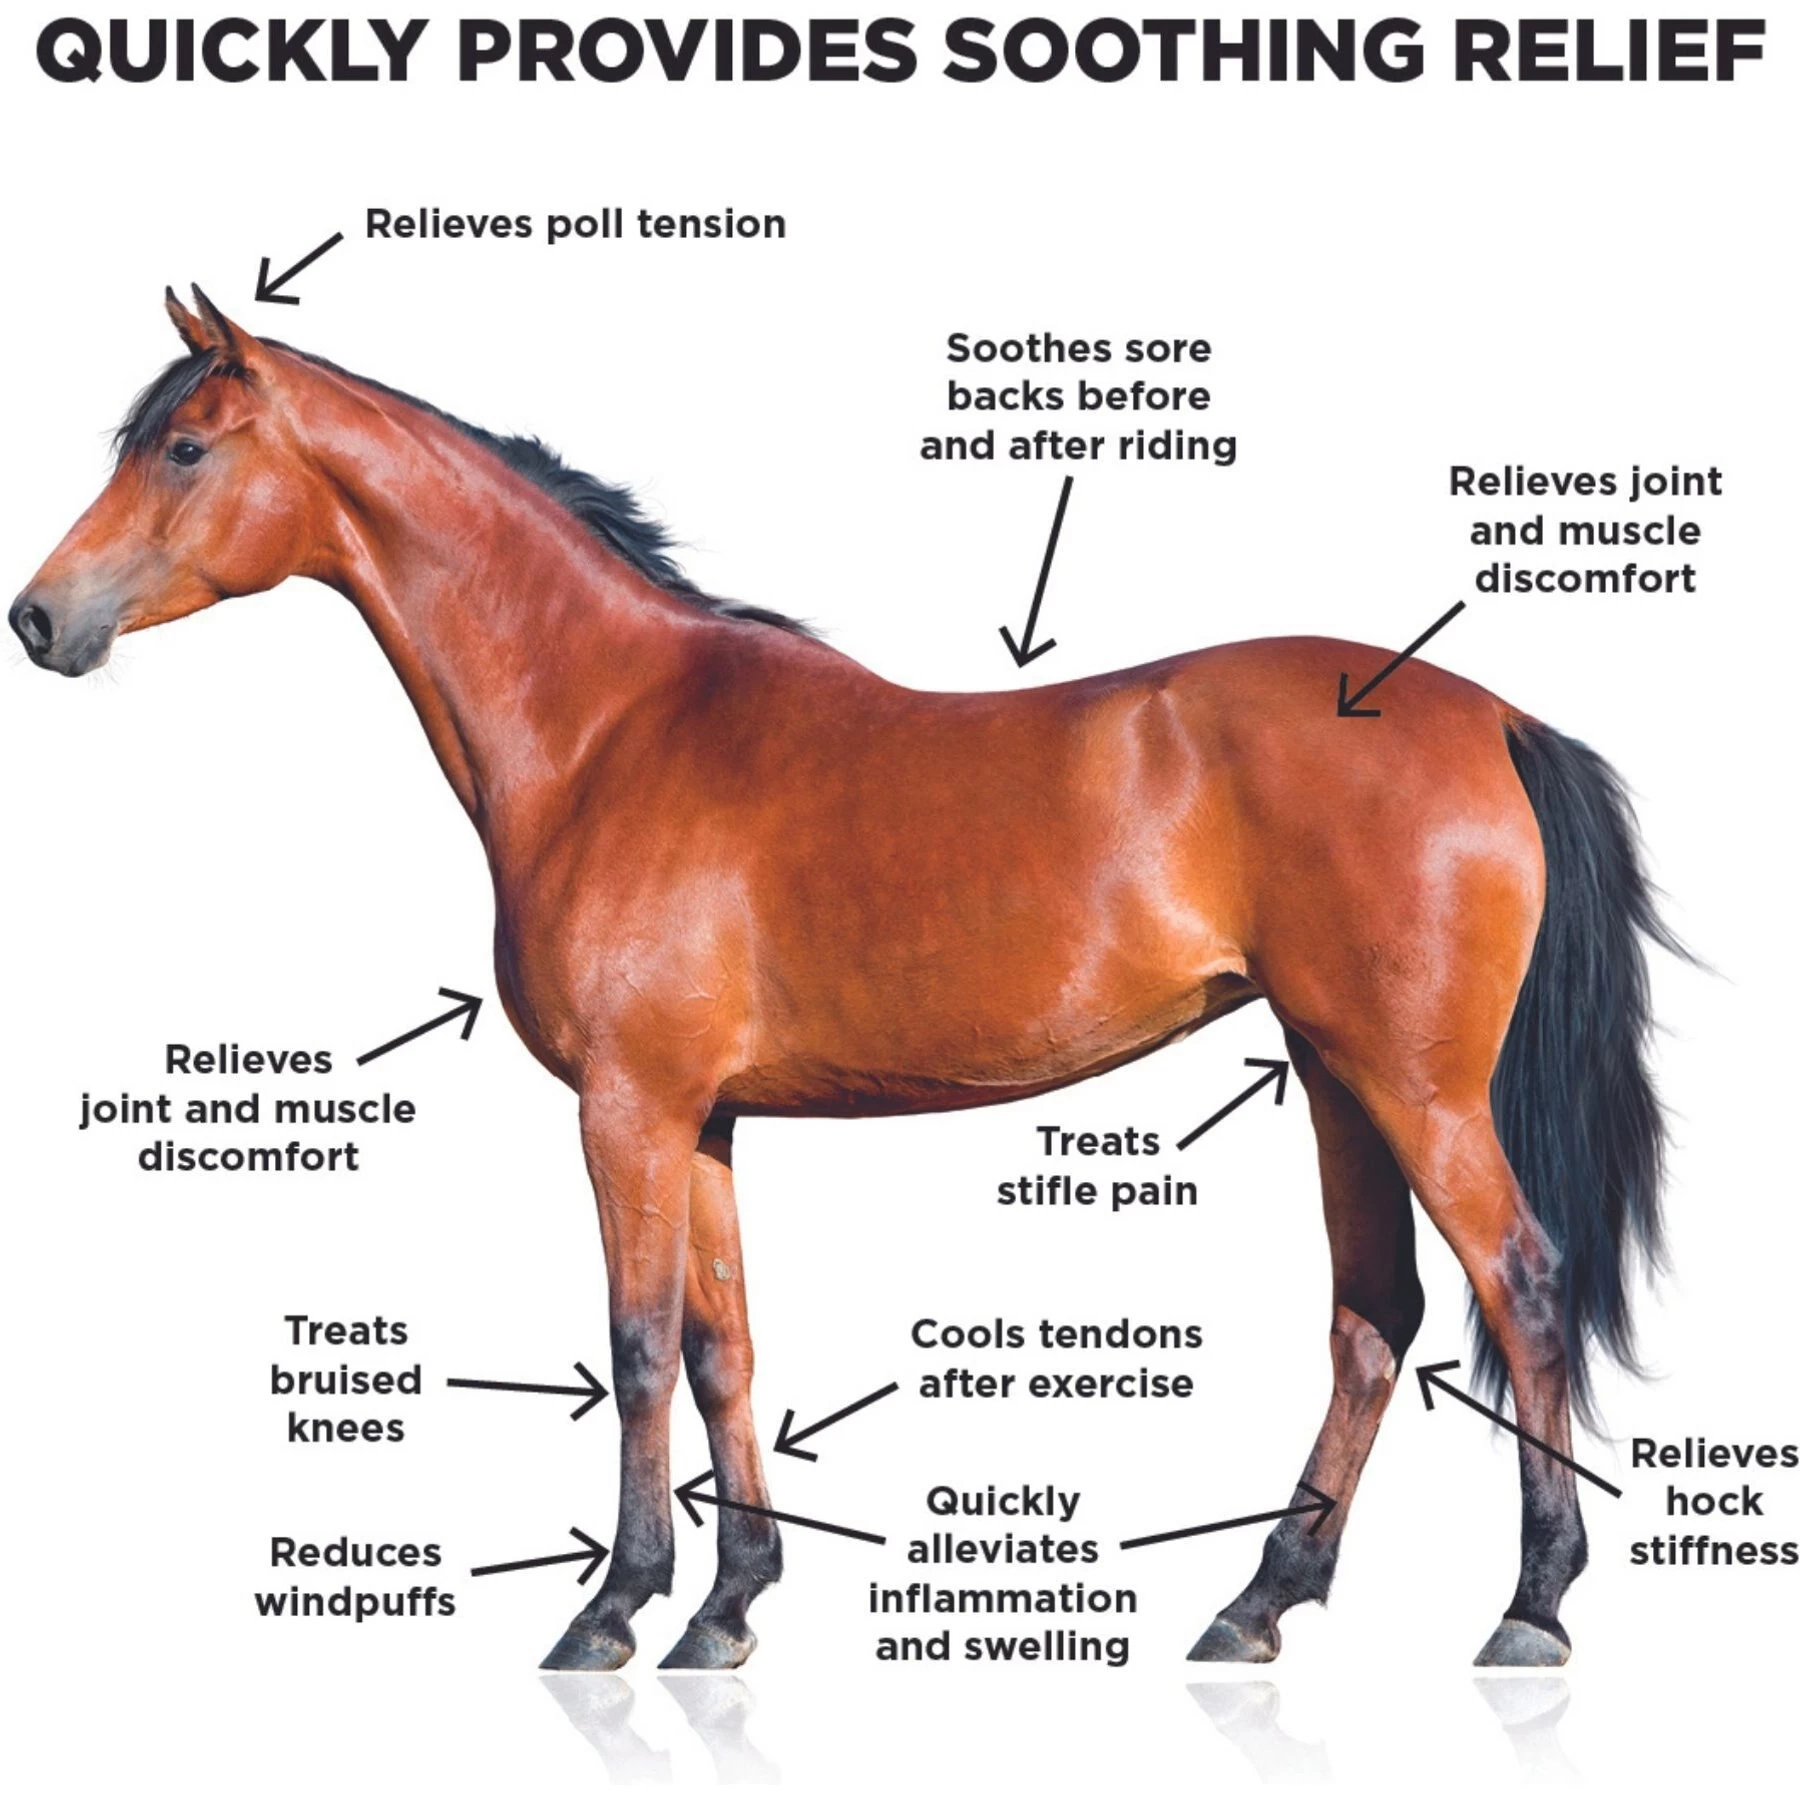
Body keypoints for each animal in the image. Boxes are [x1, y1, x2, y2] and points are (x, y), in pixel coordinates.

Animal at [12, 288, 1686, 1672]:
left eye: (181, 447)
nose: (38, 618)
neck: (609, 727)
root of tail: (1492, 716)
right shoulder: (700, 1119)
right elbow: (722, 1348)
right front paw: (727, 1607)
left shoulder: (627, 1108)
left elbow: (635, 1348)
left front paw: (615, 1610)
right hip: (1338, 1070)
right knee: (1372, 1314)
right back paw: (1260, 1600)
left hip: (1415, 1084)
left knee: (1520, 1286)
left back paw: (1531, 1607)